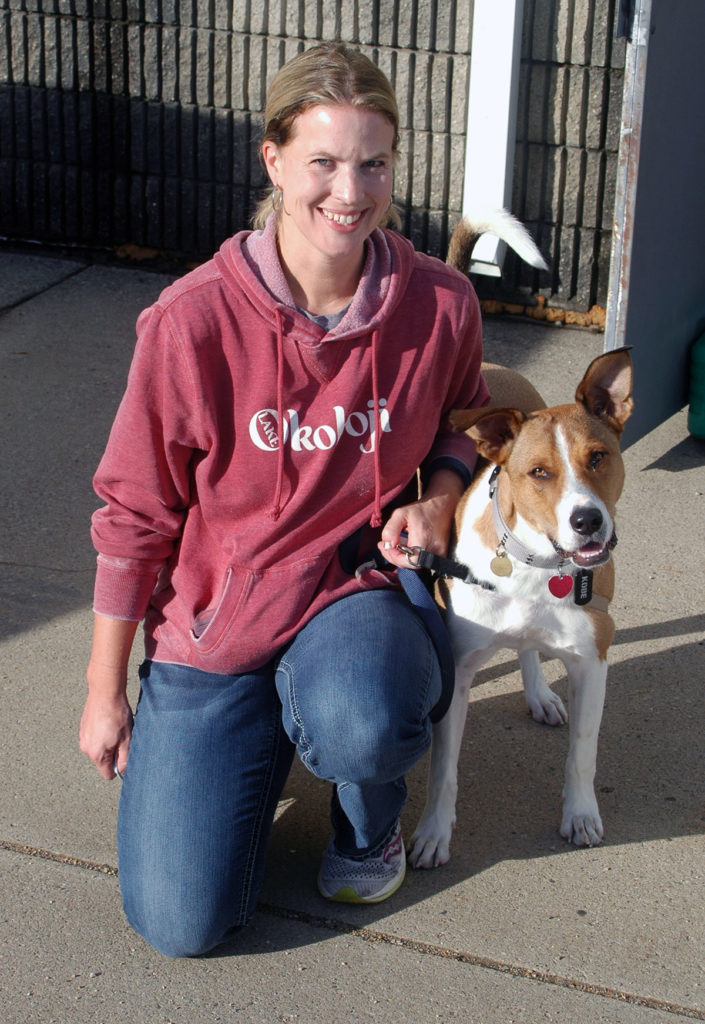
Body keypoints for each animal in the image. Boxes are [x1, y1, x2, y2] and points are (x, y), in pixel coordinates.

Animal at [407, 348, 635, 868]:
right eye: (539, 473)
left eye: (599, 457)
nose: (587, 521)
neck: (541, 564)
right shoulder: (457, 668)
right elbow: (443, 770)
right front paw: (433, 832)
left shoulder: (592, 660)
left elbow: (582, 754)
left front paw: (580, 815)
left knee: (530, 647)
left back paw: (540, 695)